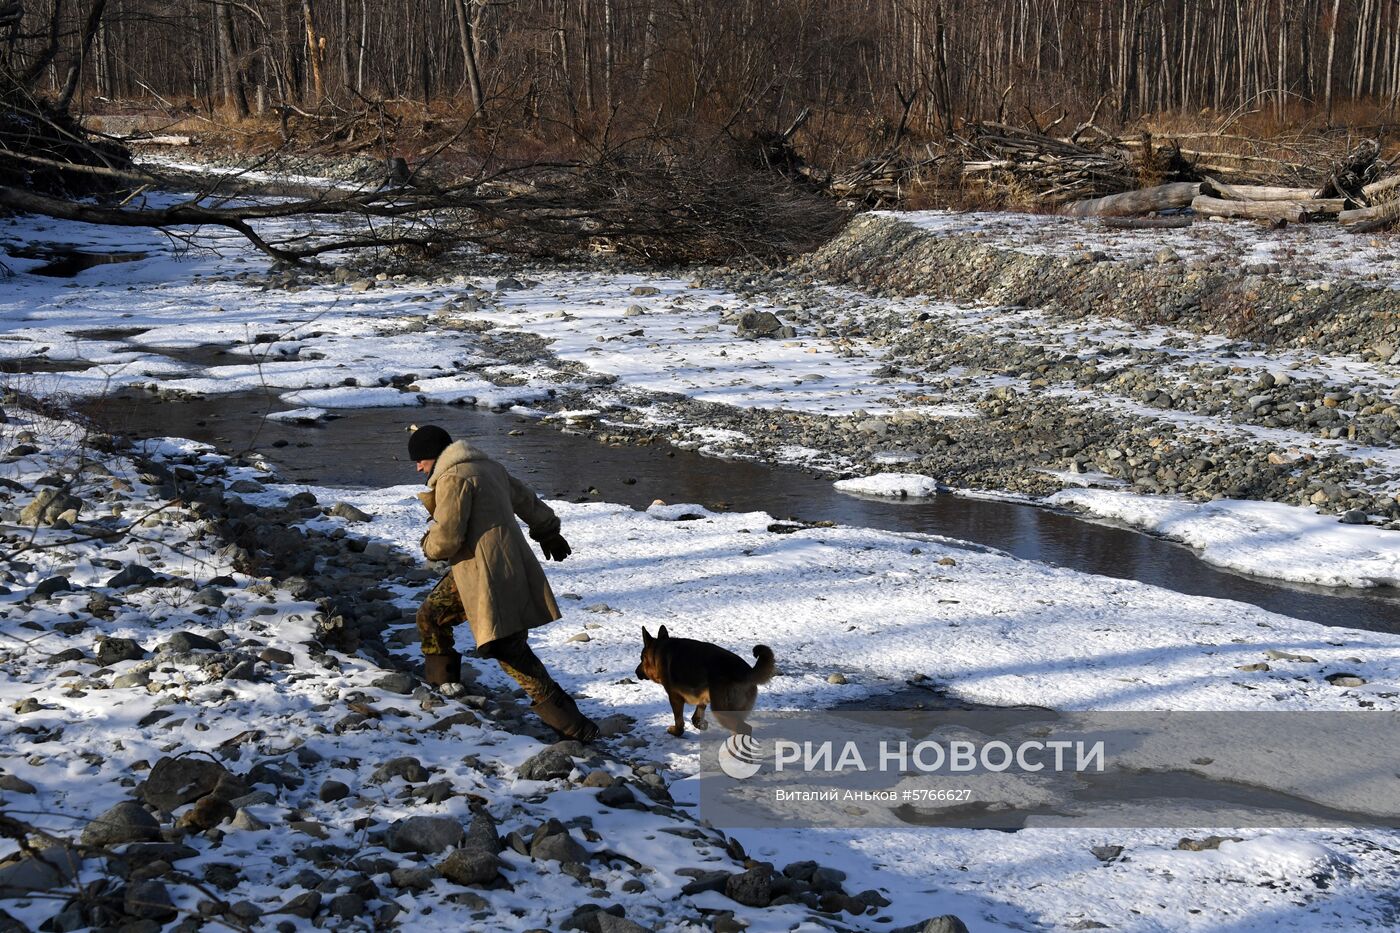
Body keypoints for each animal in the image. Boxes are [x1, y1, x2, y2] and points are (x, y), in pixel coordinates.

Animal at [638, 624, 778, 734]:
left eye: (641, 659)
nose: (636, 672)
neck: (658, 651)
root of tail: (746, 671)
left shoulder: (675, 698)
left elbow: (679, 722)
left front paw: (676, 731)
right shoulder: (703, 695)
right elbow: (697, 715)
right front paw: (700, 724)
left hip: (721, 710)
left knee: (745, 729)